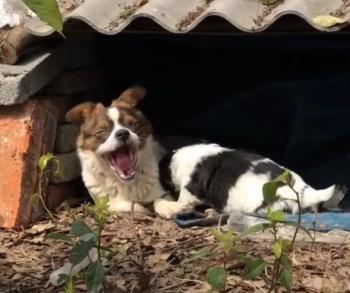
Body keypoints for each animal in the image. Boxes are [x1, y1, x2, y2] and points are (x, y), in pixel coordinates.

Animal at [65, 86, 185, 219]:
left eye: (133, 124)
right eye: (101, 131)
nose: (122, 133)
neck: (125, 183)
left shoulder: (162, 192)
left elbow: (158, 199)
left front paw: (169, 206)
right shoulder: (102, 204)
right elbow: (125, 205)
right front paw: (141, 209)